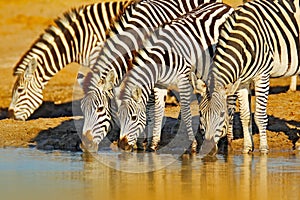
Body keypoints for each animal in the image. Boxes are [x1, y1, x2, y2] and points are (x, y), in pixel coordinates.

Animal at [115, 2, 234, 152]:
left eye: (134, 118)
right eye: (119, 116)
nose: (122, 146)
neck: (161, 60)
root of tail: (224, 5)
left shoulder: (183, 80)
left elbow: (187, 112)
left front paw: (192, 145)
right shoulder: (159, 84)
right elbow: (158, 111)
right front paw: (153, 145)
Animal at [198, 0, 298, 155]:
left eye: (222, 114)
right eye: (201, 115)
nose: (208, 151)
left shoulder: (262, 76)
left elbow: (260, 116)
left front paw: (263, 149)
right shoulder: (242, 82)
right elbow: (245, 116)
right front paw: (247, 148)